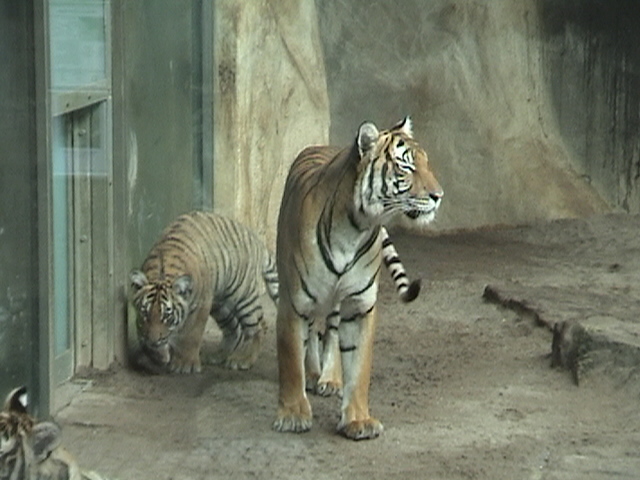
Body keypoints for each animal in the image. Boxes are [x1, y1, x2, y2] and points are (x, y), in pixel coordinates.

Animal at [129, 211, 279, 374]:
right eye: (144, 312)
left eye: (167, 316)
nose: (153, 341)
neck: (161, 271)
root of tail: (257, 241)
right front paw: (158, 355)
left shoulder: (201, 304)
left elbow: (191, 335)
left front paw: (185, 363)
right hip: (220, 305)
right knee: (234, 329)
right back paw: (219, 355)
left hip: (242, 295)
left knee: (259, 326)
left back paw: (243, 359)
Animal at [273, 117, 443, 440]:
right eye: (406, 167)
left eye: (427, 163)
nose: (438, 196)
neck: (356, 228)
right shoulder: (293, 301)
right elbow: (290, 358)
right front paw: (293, 414)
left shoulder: (360, 305)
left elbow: (359, 365)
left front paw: (358, 419)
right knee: (312, 329)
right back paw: (313, 374)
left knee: (330, 330)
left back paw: (330, 378)